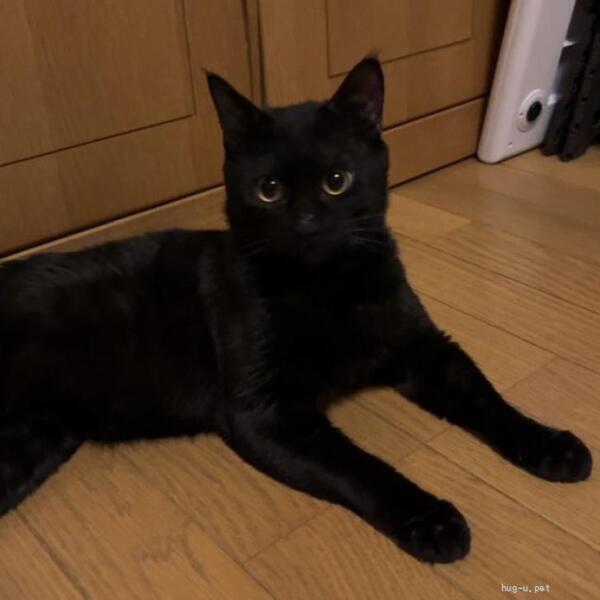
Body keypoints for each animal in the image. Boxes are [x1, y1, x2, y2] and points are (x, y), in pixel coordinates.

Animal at [0, 58, 592, 564]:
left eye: (337, 180)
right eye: (269, 190)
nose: (306, 225)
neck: (326, 289)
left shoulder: (424, 348)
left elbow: (487, 399)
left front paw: (550, 444)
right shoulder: (267, 411)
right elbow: (361, 465)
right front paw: (430, 519)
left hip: (33, 442)